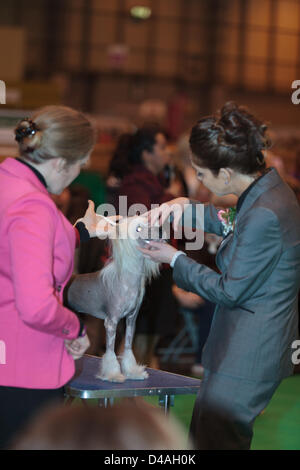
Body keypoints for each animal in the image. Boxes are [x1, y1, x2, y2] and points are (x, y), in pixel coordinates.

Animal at [67, 217, 163, 382]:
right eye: (138, 228)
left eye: (151, 223)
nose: (161, 231)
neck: (127, 281)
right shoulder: (111, 322)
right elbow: (110, 352)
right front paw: (113, 375)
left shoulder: (131, 319)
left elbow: (128, 347)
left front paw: (132, 372)